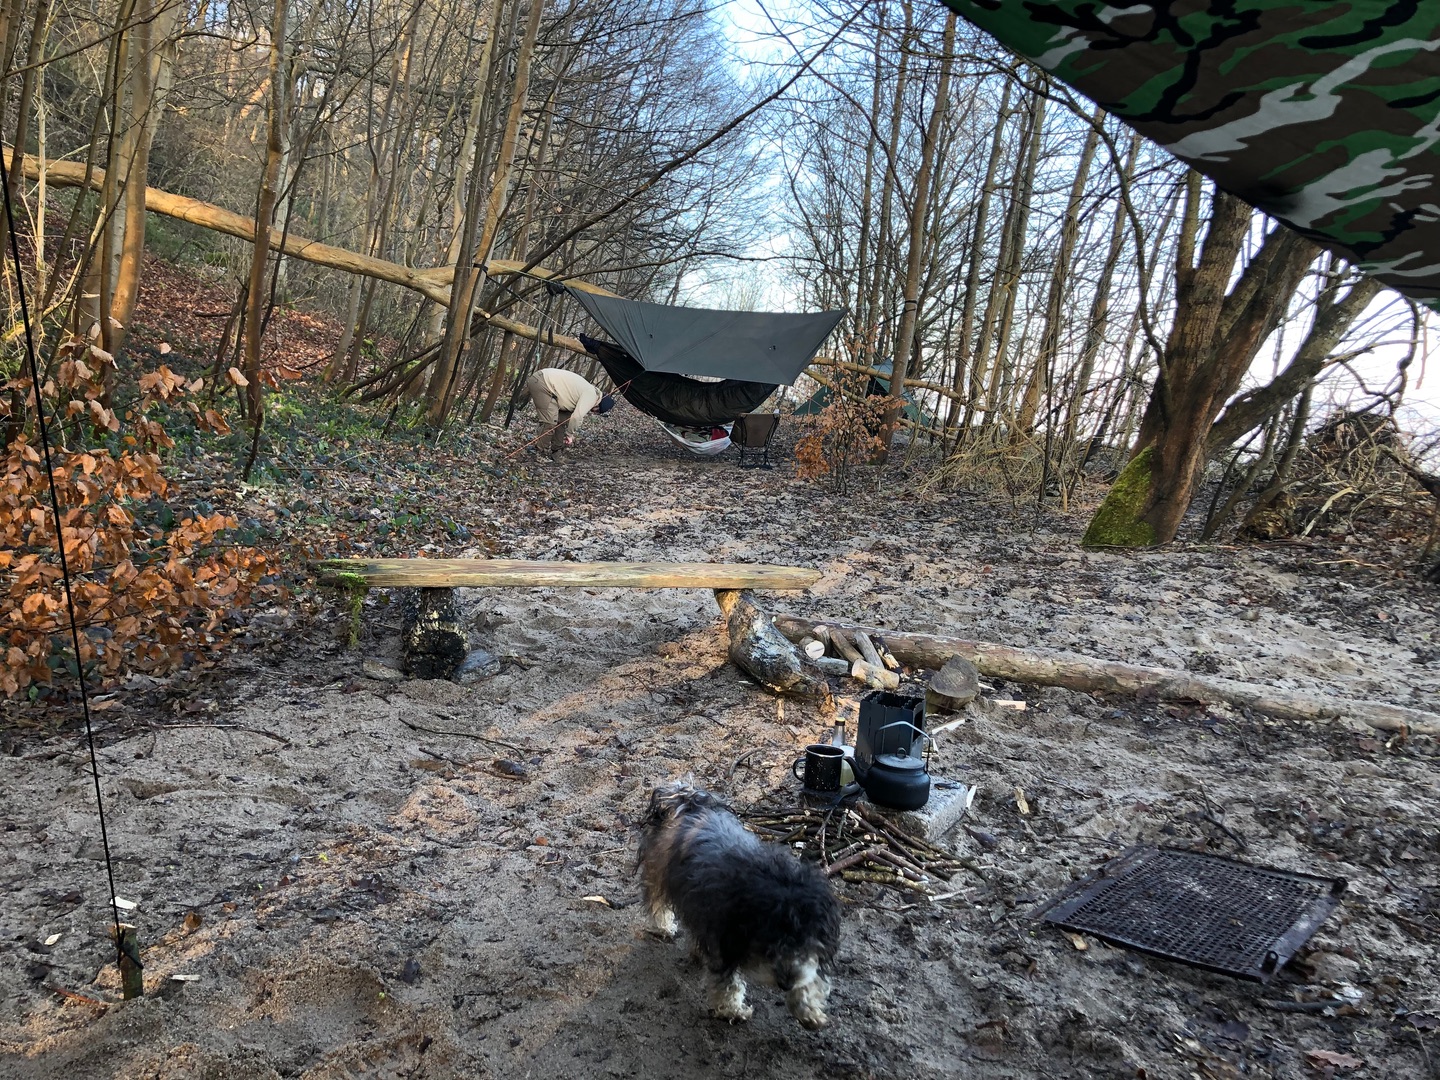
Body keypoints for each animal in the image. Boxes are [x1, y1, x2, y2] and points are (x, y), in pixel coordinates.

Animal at [636, 780, 841, 1029]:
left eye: (806, 940)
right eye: (769, 940)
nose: (785, 983)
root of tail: (688, 802)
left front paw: (808, 1010)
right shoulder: (724, 941)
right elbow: (728, 984)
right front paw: (732, 1010)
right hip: (658, 872)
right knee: (657, 902)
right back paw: (663, 927)